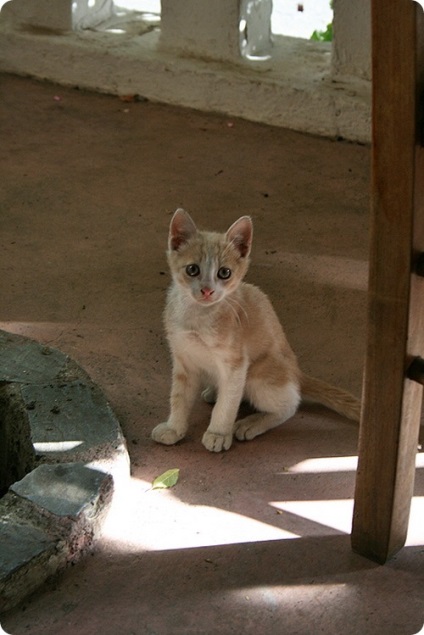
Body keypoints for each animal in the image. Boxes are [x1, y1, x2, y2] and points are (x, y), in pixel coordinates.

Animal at [151, 209, 360, 452]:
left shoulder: (236, 365)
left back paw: (251, 423)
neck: (198, 317)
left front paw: (218, 433)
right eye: (192, 269)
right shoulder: (183, 360)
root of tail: (296, 370)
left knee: (291, 403)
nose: (207, 291)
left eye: (224, 273)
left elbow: (227, 404)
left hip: (258, 376)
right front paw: (173, 428)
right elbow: (179, 397)